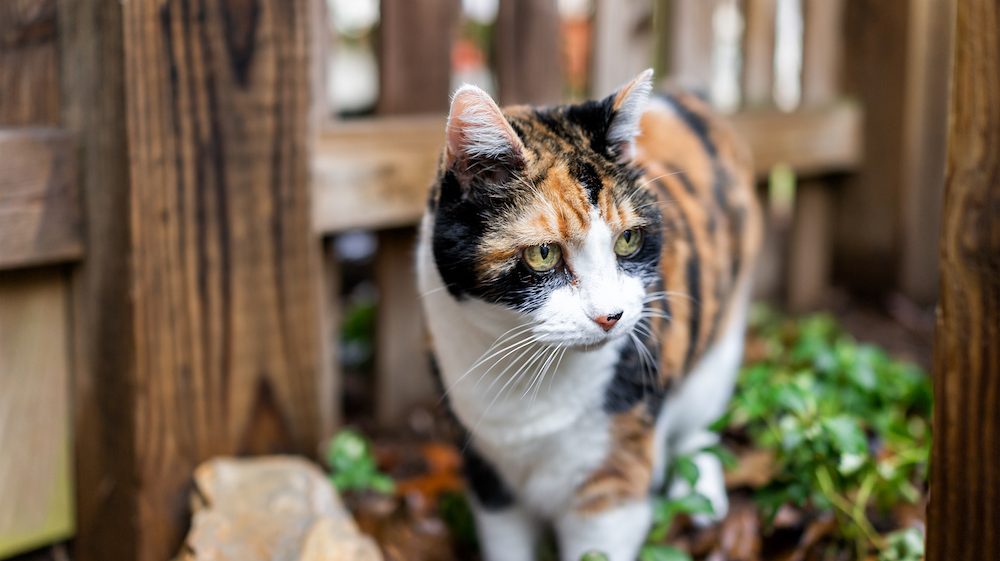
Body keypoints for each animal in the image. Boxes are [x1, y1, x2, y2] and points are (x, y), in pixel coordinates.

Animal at [418, 70, 760, 560]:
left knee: (702, 422)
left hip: (720, 343)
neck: (524, 376)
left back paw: (702, 497)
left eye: (628, 241)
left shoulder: (612, 484)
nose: (611, 315)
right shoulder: (486, 471)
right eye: (543, 253)